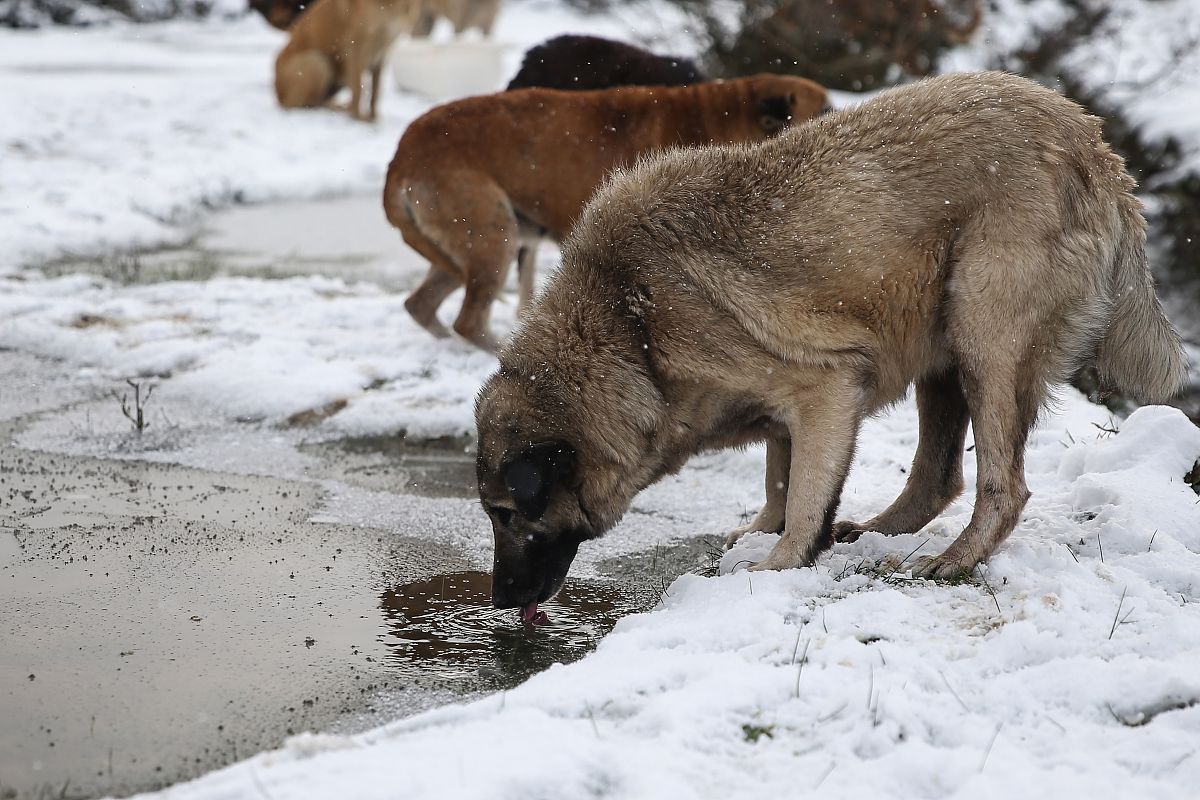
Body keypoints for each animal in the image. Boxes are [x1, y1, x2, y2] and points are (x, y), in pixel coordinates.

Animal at [273, 0, 420, 121]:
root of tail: (278, 92)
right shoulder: (355, 48)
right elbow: (359, 89)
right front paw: (359, 119)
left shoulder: (382, 53)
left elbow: (375, 92)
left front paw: (373, 119)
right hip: (317, 62)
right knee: (303, 104)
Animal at [381, 74, 825, 350]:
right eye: (821, 113)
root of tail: (402, 155)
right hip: (494, 236)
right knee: (468, 321)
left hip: (470, 245)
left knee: (422, 306)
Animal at [472, 71, 1185, 618]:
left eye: (505, 515)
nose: (500, 601)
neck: (628, 327)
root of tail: (1092, 141)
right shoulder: (791, 413)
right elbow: (782, 484)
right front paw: (761, 535)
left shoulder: (826, 388)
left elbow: (803, 498)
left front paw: (775, 565)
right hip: (946, 352)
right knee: (939, 477)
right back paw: (873, 533)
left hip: (984, 338)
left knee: (1002, 489)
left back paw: (953, 561)